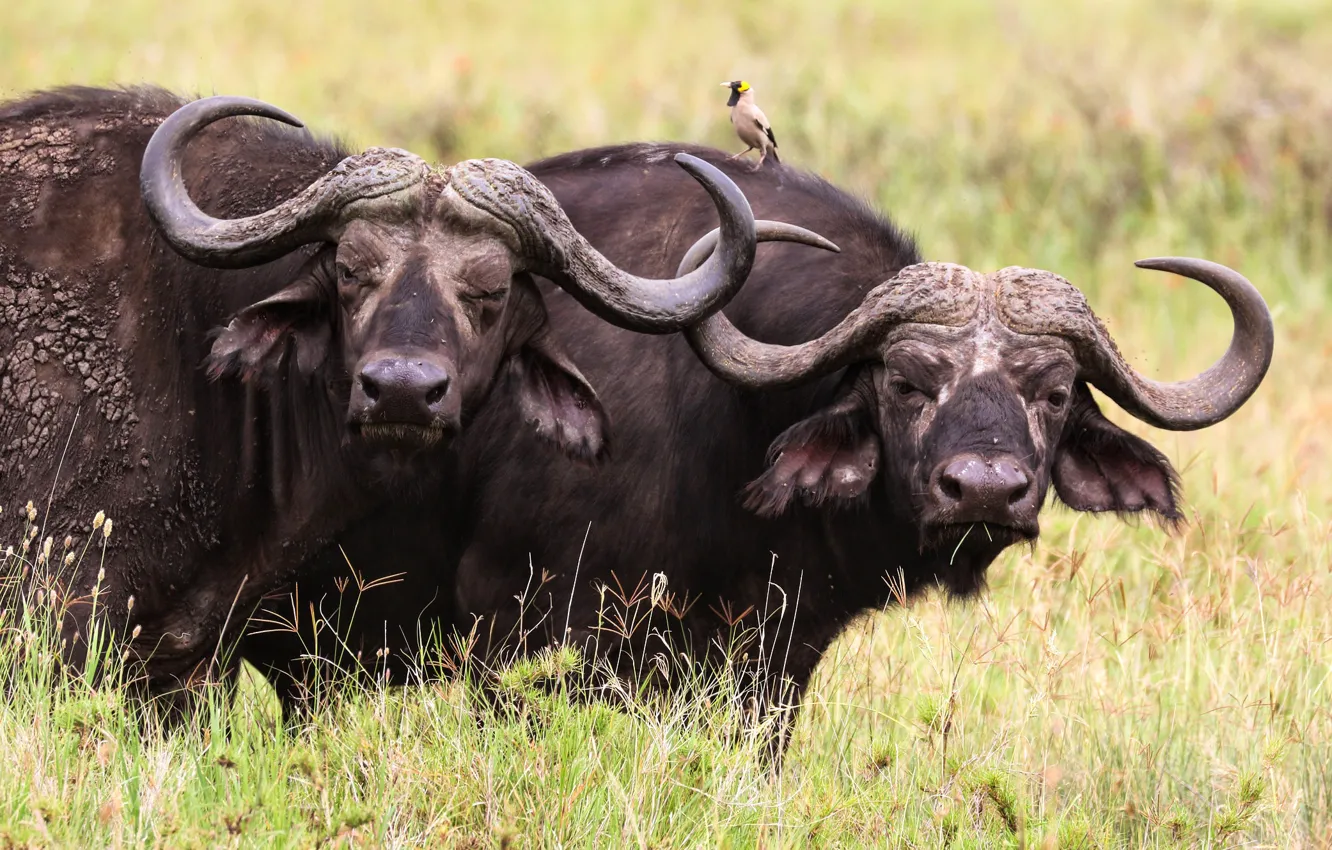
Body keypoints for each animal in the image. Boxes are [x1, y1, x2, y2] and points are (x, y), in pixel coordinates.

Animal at [245, 141, 1273, 746]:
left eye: (1055, 393)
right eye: (904, 382)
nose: (984, 488)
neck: (729, 417)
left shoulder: (778, 657)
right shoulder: (519, 624)